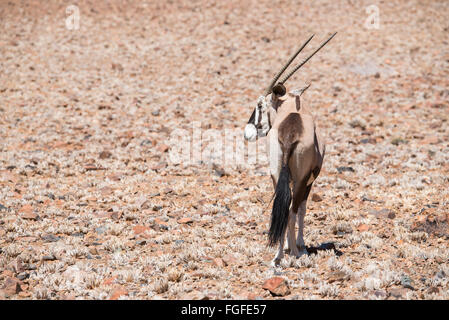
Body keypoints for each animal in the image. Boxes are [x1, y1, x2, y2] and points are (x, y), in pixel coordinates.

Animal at [243, 32, 334, 264]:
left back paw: (278, 256)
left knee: (283, 209)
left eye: (259, 105)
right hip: (301, 179)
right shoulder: (309, 181)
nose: (247, 133)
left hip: (276, 173)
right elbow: (302, 209)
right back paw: (294, 252)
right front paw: (300, 246)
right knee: (292, 210)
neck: (293, 111)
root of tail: (290, 131)